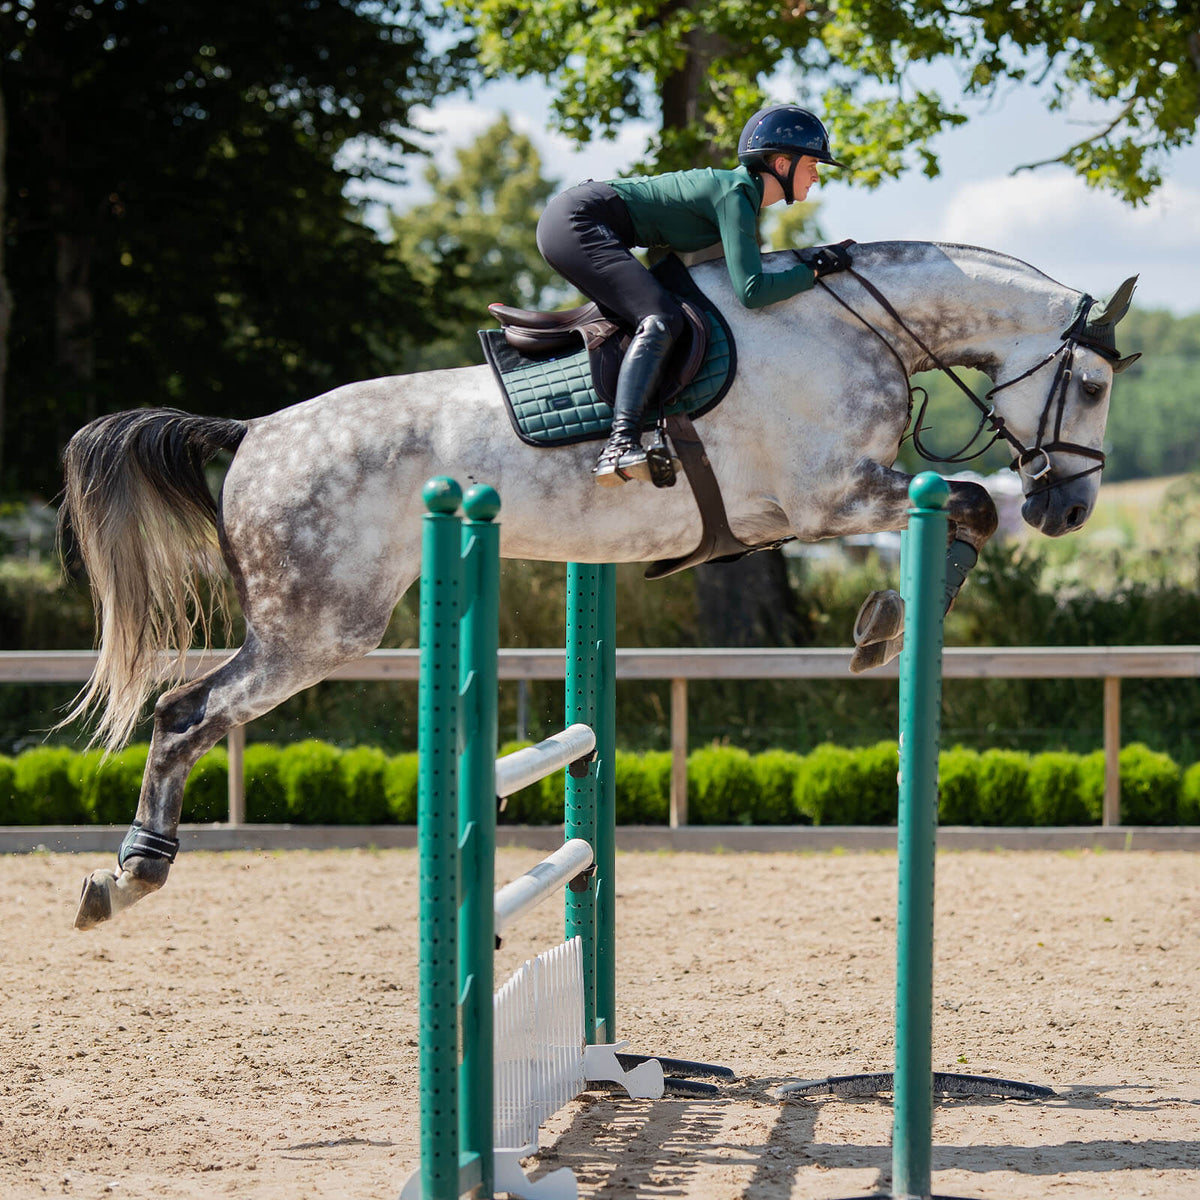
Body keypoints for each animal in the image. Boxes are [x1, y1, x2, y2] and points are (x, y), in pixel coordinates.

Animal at [59, 240, 1138, 930]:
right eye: (1090, 386)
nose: (1071, 509)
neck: (853, 328)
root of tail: (252, 431)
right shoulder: (828, 493)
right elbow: (970, 504)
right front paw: (885, 622)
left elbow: (964, 509)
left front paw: (888, 621)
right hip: (319, 627)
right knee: (185, 713)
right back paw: (130, 874)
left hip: (310, 624)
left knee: (189, 711)